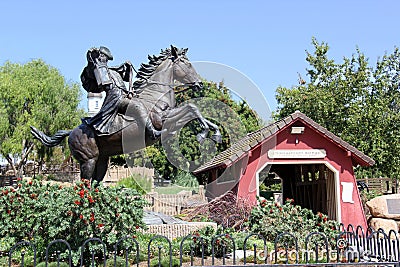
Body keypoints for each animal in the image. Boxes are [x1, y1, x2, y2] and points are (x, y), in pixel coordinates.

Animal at [31, 46, 222, 184]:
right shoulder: (162, 120)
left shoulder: (172, 123)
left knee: (94, 183)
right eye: (186, 64)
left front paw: (214, 133)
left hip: (102, 161)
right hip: (88, 161)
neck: (155, 94)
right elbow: (192, 108)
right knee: (83, 185)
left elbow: (193, 110)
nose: (199, 84)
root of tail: (71, 132)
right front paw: (204, 134)